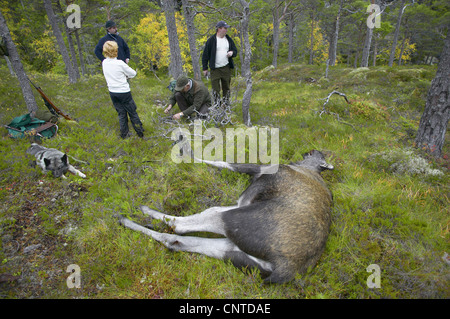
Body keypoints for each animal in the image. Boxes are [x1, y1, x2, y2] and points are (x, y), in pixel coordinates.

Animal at [119, 151, 334, 284]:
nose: (308, 151)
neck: (310, 168)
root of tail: (286, 268)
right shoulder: (246, 198)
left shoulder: (254, 180)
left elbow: (224, 163)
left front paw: (187, 152)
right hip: (235, 251)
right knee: (176, 240)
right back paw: (130, 219)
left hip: (234, 221)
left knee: (186, 223)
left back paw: (141, 213)